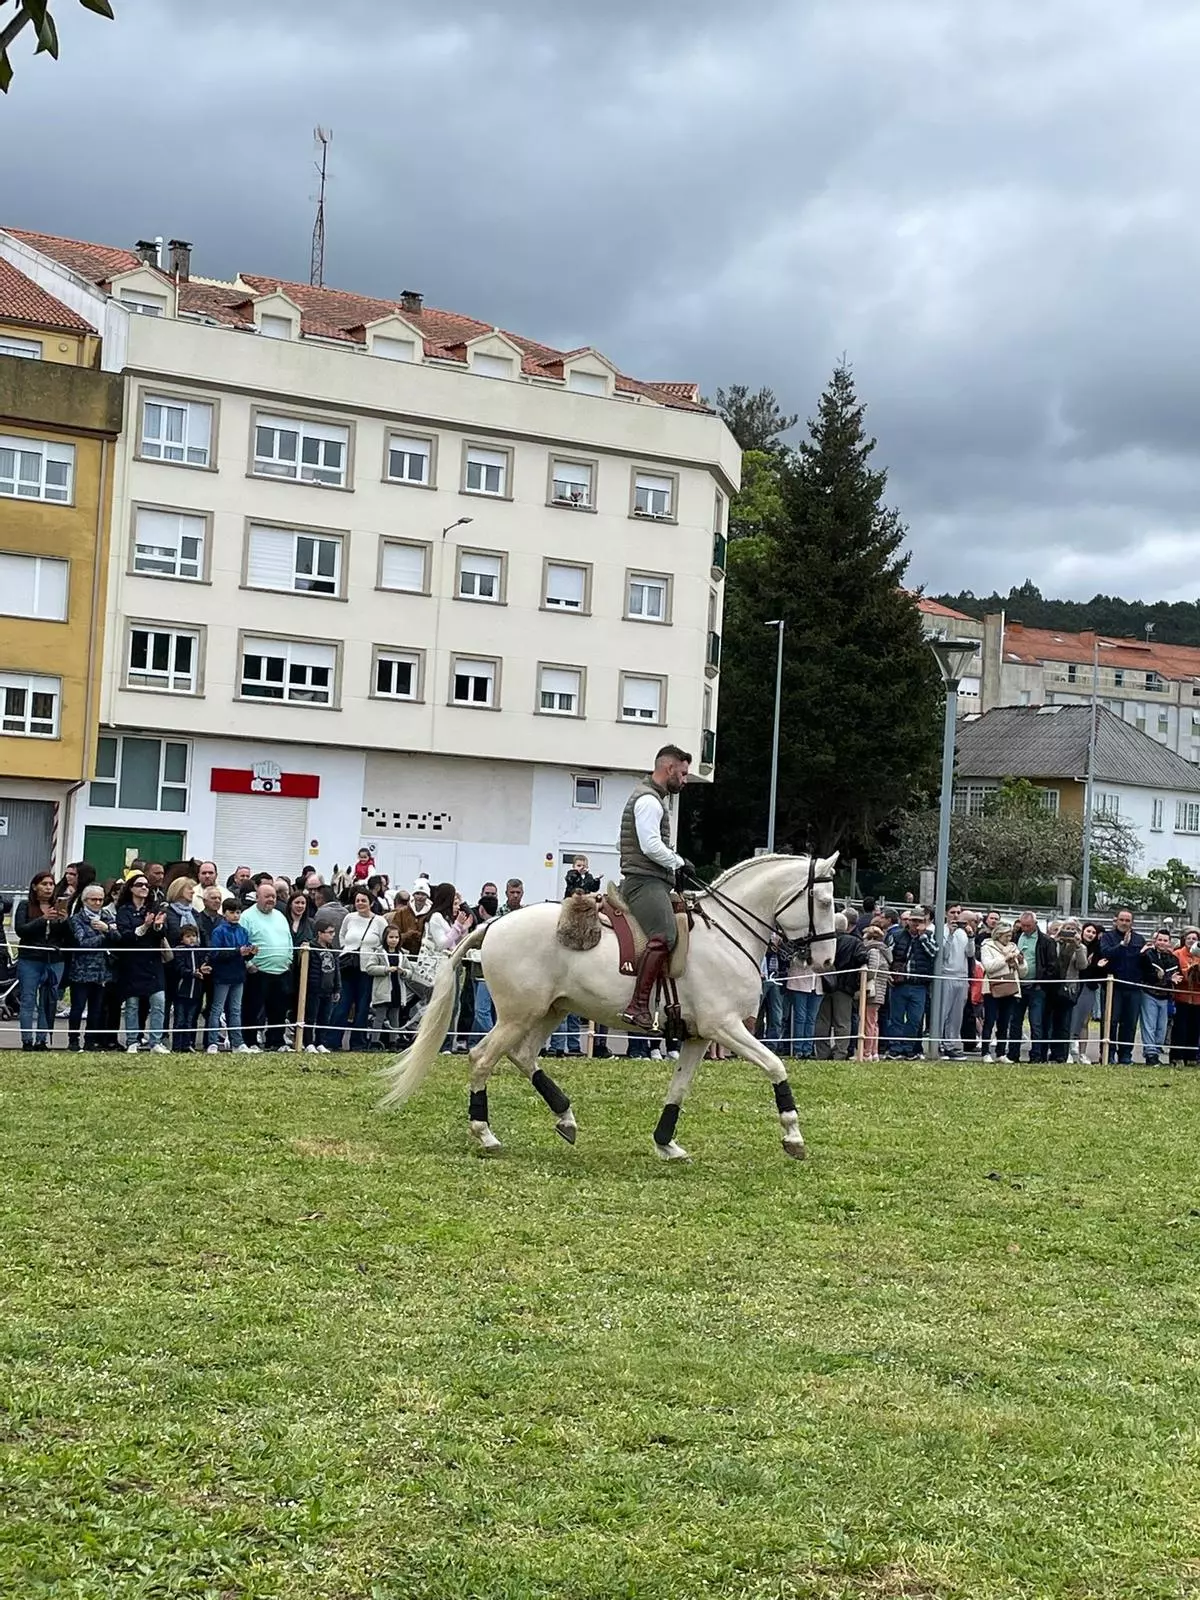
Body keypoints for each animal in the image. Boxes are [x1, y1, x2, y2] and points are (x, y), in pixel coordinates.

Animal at [380, 851, 838, 1164]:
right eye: (824, 902)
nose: (828, 960)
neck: (726, 934)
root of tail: (494, 923)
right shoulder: (725, 1026)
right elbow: (776, 1065)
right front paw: (793, 1136)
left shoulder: (697, 1035)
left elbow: (679, 1088)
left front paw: (666, 1143)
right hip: (517, 1014)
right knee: (481, 1057)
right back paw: (485, 1132)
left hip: (550, 1011)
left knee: (523, 1056)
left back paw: (565, 1118)